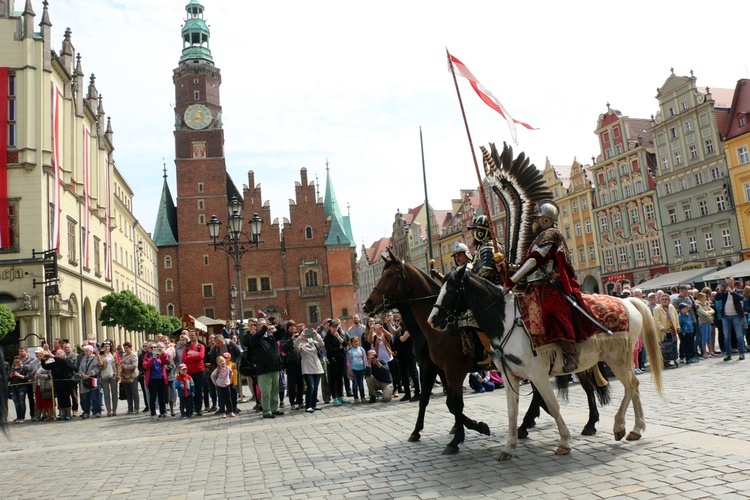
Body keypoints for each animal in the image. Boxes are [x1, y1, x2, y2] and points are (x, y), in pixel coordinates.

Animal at [428, 266, 664, 460]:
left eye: (451, 290)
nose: (433, 320)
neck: (506, 323)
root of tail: (627, 302)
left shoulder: (537, 374)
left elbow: (552, 404)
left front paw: (564, 442)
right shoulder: (510, 375)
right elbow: (512, 411)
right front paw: (509, 447)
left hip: (617, 358)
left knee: (630, 385)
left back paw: (619, 426)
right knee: (632, 386)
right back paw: (634, 429)